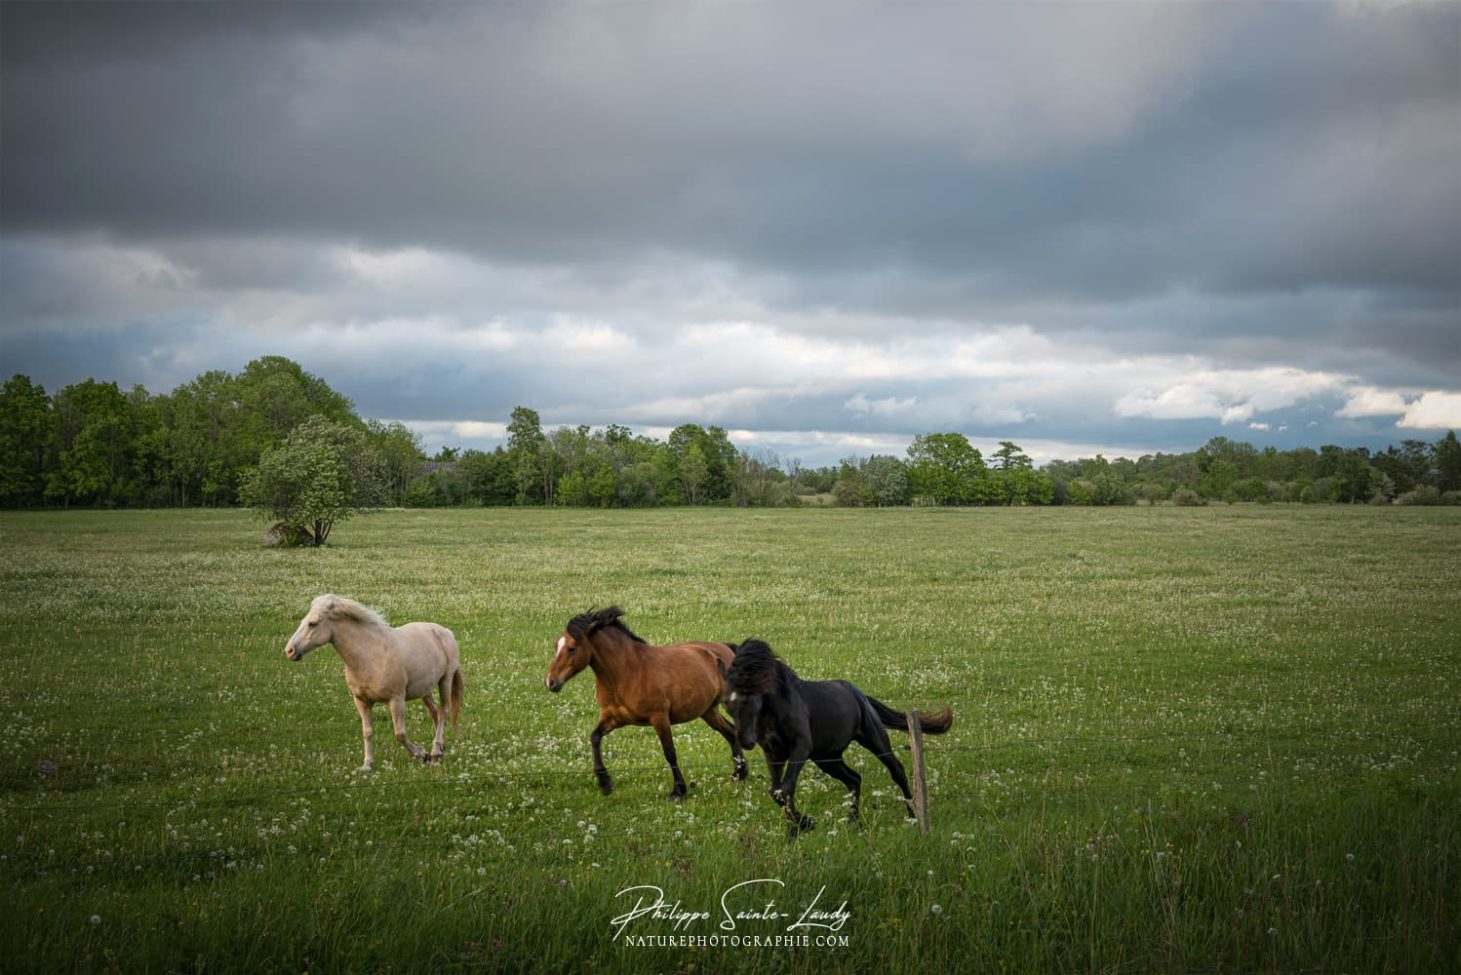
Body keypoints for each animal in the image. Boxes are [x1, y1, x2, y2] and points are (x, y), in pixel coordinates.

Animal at [284, 594, 464, 771]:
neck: (371, 655)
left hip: (445, 681)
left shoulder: (396, 699)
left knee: (443, 712)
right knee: (434, 712)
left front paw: (421, 754)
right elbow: (367, 732)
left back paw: (434, 753)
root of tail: (446, 632)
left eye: (313, 623)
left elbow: (400, 733)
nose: (289, 651)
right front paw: (367, 765)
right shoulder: (362, 701)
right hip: (425, 690)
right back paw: (440, 749)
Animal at [544, 607, 747, 800]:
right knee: (730, 732)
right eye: (555, 645)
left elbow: (670, 753)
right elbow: (594, 737)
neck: (627, 672)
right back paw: (739, 773)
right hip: (708, 711)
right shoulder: (612, 719)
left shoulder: (659, 718)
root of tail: (725, 649)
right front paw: (605, 783)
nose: (550, 682)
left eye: (572, 648)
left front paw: (678, 791)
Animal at [720, 639, 952, 836]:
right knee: (854, 779)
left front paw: (805, 824)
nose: (747, 742)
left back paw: (912, 816)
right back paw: (853, 821)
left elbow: (786, 788)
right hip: (827, 758)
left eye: (748, 697)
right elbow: (776, 791)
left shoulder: (800, 748)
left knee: (897, 771)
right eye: (726, 703)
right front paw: (799, 828)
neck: (776, 711)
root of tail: (858, 693)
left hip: (874, 739)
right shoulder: (773, 754)